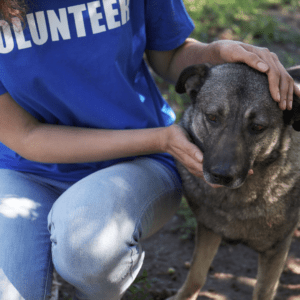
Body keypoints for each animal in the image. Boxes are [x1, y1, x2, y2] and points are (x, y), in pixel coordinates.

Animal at [168, 63, 300, 300]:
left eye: (257, 127)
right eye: (212, 117)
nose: (221, 175)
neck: (234, 200)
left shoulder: (276, 250)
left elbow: (262, 292)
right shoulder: (209, 229)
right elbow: (196, 276)